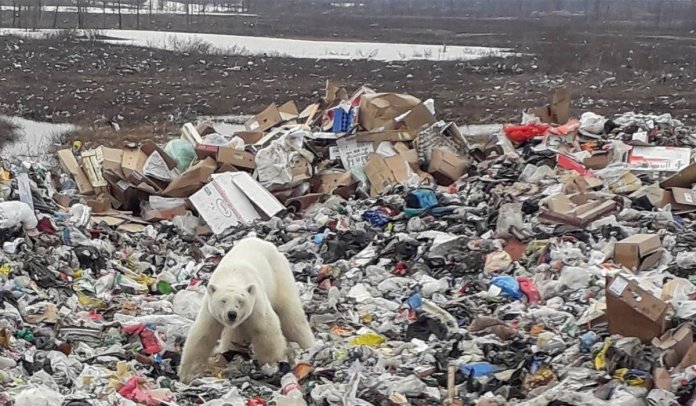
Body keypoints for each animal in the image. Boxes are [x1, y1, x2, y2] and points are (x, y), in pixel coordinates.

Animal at [178, 236, 314, 382]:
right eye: (223, 301)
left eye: (240, 301)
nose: (232, 314)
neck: (233, 275)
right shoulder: (209, 309)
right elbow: (202, 334)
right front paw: (188, 373)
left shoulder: (256, 301)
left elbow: (265, 329)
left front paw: (271, 364)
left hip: (279, 275)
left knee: (291, 315)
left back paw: (307, 346)